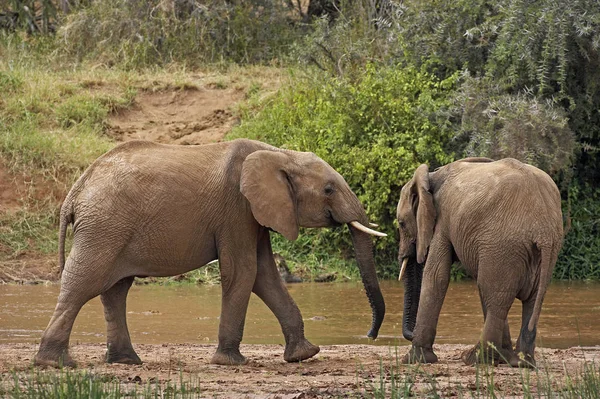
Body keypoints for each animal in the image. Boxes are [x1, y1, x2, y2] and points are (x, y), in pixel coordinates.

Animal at [35, 138, 386, 368]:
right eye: (328, 189)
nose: (370, 335)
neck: (280, 154)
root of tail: (77, 188)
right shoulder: (237, 208)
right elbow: (244, 271)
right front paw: (230, 362)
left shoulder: (254, 214)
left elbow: (264, 275)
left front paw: (304, 355)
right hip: (104, 226)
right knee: (84, 283)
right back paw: (55, 364)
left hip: (110, 228)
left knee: (115, 291)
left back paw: (127, 362)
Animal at [398, 158, 564, 368]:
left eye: (401, 224)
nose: (409, 335)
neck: (430, 177)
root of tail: (543, 231)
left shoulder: (443, 221)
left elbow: (436, 276)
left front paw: (414, 359)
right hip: (539, 250)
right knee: (526, 299)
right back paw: (519, 362)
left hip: (504, 244)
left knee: (496, 299)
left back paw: (476, 359)